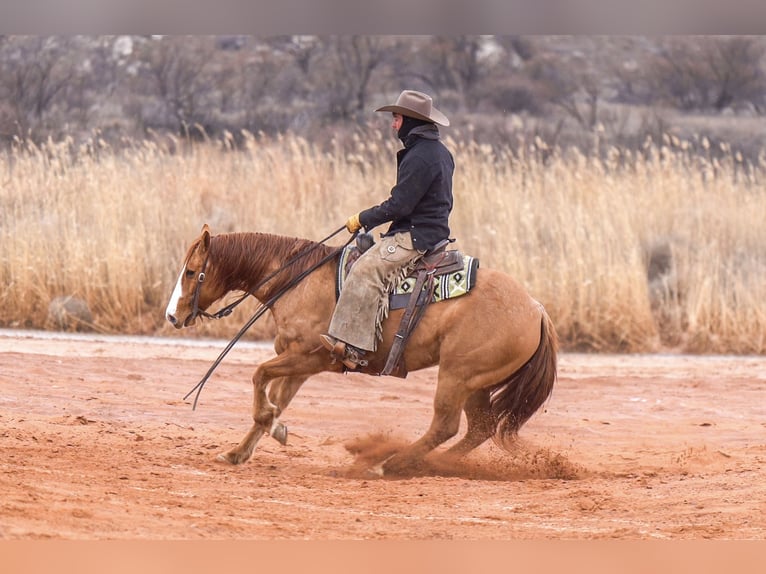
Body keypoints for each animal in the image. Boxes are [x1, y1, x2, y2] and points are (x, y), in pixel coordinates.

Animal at [165, 225, 560, 476]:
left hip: (457, 376)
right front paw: (242, 449)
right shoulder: (298, 365)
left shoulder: (310, 356)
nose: (172, 316)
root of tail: (536, 309)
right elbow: (274, 399)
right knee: (479, 428)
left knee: (445, 426)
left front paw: (273, 427)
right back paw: (430, 465)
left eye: (192, 272)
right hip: (477, 383)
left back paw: (391, 464)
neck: (299, 279)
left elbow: (259, 375)